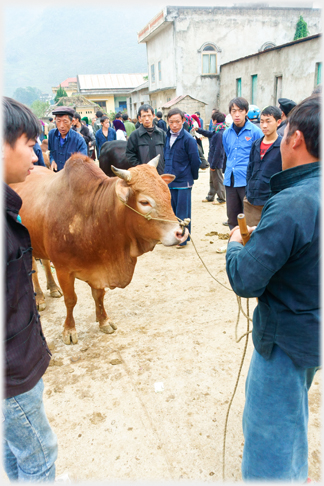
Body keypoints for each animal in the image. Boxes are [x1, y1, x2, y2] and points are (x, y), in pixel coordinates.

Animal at [11, 154, 187, 344]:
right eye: (144, 202)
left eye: (168, 194)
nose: (180, 233)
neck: (92, 214)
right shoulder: (63, 269)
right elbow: (71, 300)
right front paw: (69, 329)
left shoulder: (99, 266)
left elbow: (99, 296)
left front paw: (103, 321)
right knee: (34, 269)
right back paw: (40, 297)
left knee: (43, 261)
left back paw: (52, 288)